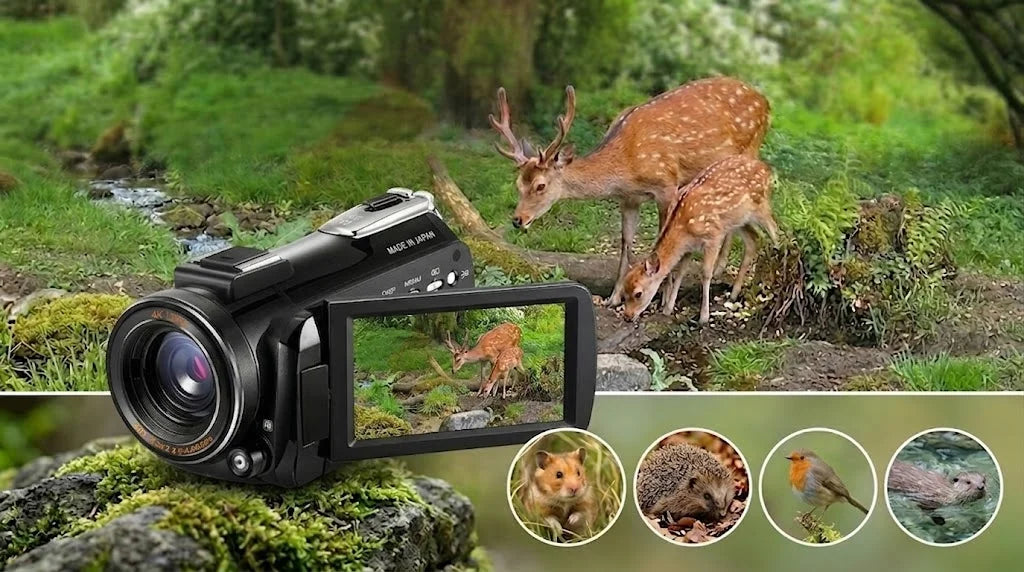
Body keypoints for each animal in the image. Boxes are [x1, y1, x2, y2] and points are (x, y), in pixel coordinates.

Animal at [490, 77, 770, 306]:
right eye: (518, 184)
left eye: (540, 185)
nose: (518, 220)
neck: (626, 164)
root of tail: (766, 102)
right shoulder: (628, 199)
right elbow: (625, 242)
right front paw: (614, 297)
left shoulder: (667, 185)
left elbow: (662, 239)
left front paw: (662, 298)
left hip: (749, 149)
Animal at [621, 154, 778, 325]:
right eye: (624, 290)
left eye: (638, 293)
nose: (627, 316)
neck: (683, 228)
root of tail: (767, 168)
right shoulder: (690, 247)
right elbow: (680, 272)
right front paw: (668, 309)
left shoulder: (713, 236)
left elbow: (706, 273)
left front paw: (704, 316)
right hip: (739, 220)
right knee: (754, 239)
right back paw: (736, 293)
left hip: (761, 205)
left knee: (776, 232)